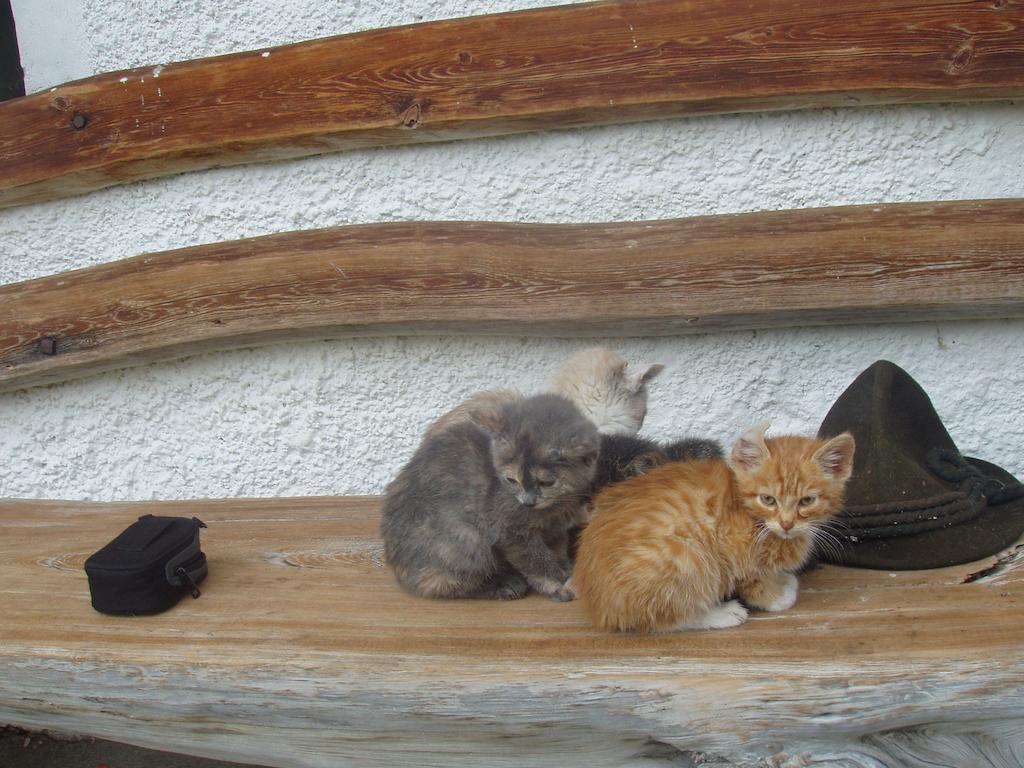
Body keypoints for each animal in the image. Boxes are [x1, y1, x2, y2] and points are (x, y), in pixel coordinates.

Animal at [380, 397, 598, 602]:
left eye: (547, 482)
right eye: (511, 480)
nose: (528, 501)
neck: (555, 507)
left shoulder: (555, 529)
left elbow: (557, 551)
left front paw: (567, 571)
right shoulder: (510, 531)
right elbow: (536, 561)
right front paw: (557, 585)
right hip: (468, 538)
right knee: (438, 584)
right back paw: (503, 585)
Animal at [577, 428, 856, 630]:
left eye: (807, 501)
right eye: (768, 499)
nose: (787, 523)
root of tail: (598, 605)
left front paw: (782, 578)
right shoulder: (735, 550)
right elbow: (753, 578)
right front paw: (776, 597)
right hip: (688, 556)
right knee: (662, 617)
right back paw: (721, 614)